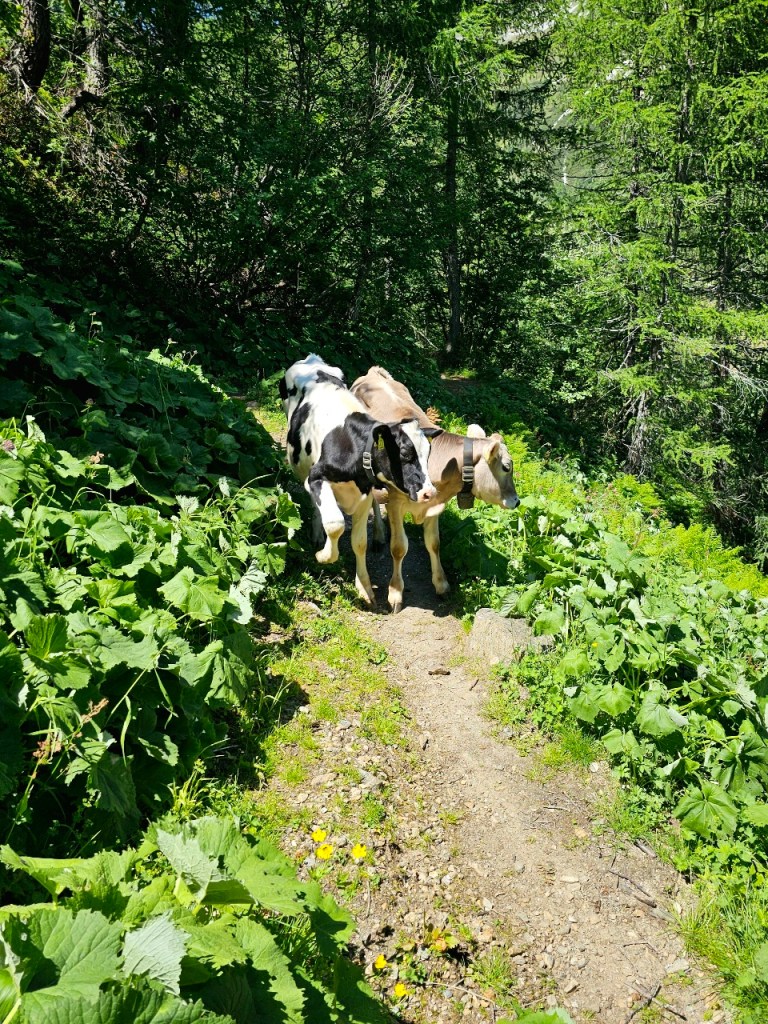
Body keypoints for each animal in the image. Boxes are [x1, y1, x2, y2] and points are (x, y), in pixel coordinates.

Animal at [280, 355, 437, 605]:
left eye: (428, 453)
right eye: (405, 454)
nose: (429, 493)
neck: (352, 445)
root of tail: (311, 359)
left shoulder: (364, 493)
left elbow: (359, 542)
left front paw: (363, 586)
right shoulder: (316, 477)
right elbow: (335, 523)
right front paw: (323, 555)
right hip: (305, 468)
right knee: (318, 506)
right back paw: (317, 534)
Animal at [351, 365, 520, 613]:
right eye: (507, 467)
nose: (516, 501)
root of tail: (373, 373)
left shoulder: (435, 505)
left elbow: (434, 543)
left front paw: (441, 584)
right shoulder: (396, 503)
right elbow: (399, 547)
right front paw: (395, 593)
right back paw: (379, 535)